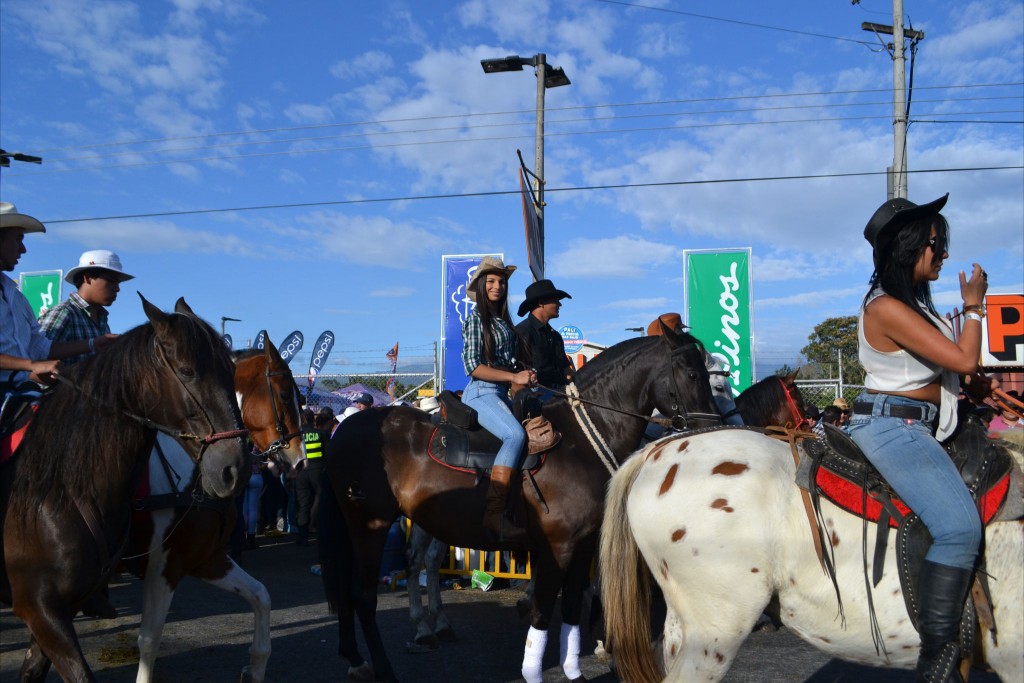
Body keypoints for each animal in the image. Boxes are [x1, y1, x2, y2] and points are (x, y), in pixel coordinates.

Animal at [0, 296, 247, 683]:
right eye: (187, 371)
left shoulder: (62, 607)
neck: (60, 490)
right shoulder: (38, 607)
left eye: (231, 372)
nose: (233, 469)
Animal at [317, 327, 720, 679]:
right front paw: (536, 670)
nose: (712, 430)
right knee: (365, 595)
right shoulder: (558, 547)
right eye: (692, 374)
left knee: (377, 581)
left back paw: (362, 655)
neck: (580, 442)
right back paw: (385, 665)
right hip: (369, 526)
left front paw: (576, 670)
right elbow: (543, 612)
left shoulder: (583, 546)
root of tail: (343, 432)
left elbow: (570, 611)